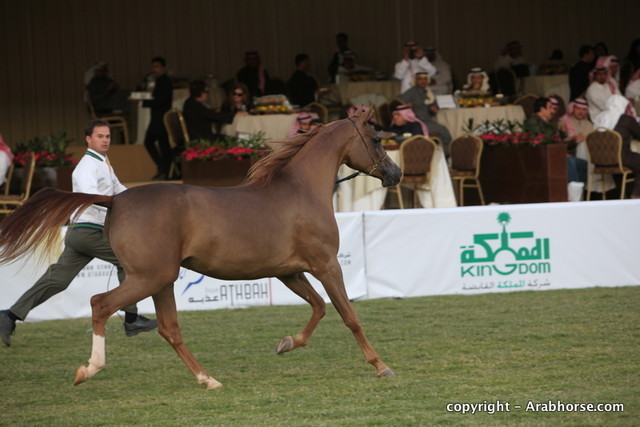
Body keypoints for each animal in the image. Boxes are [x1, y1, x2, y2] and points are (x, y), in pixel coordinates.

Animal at [0, 107, 401, 389]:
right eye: (376, 138)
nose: (395, 174)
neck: (299, 190)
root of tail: (114, 199)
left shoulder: (288, 271)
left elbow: (318, 308)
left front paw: (286, 343)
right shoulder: (326, 265)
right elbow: (348, 315)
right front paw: (381, 366)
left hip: (161, 280)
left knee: (169, 328)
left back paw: (208, 379)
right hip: (151, 276)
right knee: (101, 304)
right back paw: (88, 370)